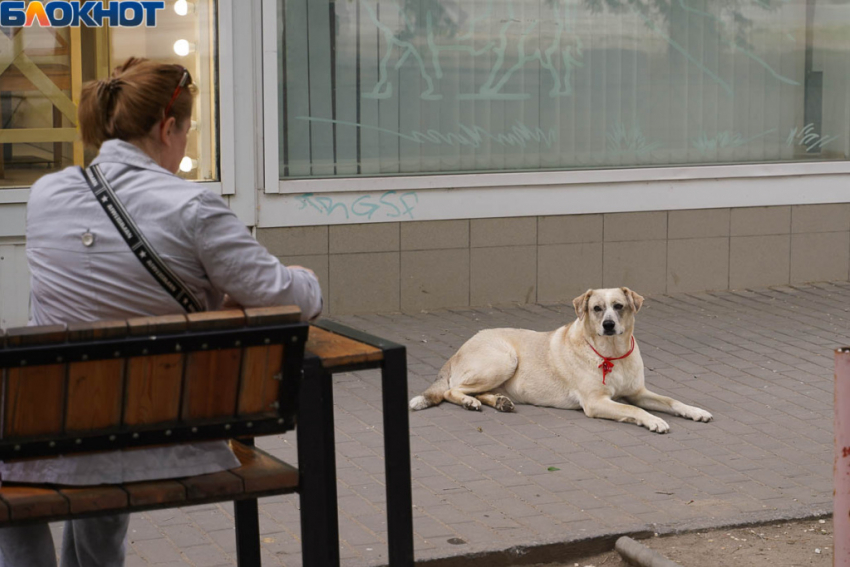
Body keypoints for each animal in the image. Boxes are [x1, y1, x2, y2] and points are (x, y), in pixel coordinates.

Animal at [408, 288, 712, 434]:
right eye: (596, 308)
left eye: (619, 306)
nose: (609, 325)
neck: (611, 353)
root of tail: (460, 348)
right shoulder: (595, 402)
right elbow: (634, 410)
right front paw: (653, 421)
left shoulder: (638, 392)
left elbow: (671, 401)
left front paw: (695, 411)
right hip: (504, 359)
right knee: (451, 390)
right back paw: (470, 402)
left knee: (476, 391)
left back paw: (500, 401)